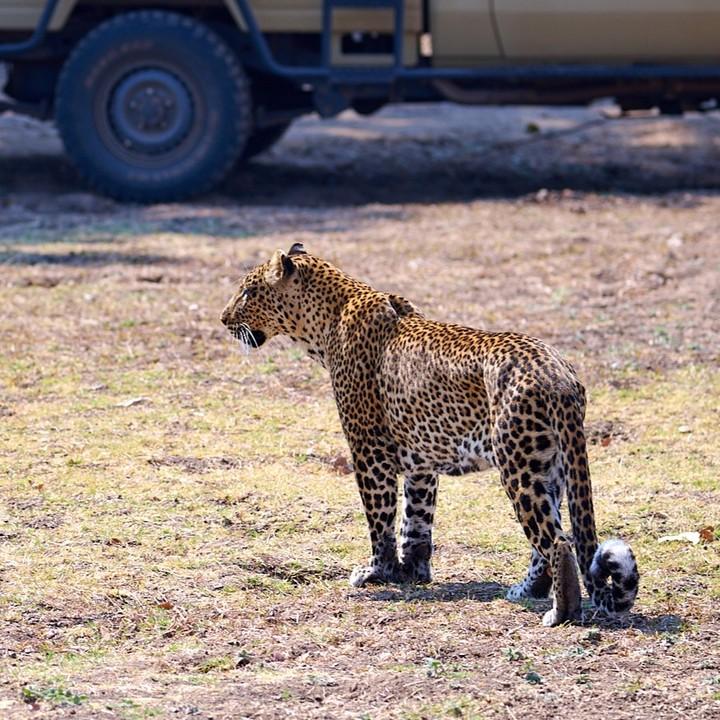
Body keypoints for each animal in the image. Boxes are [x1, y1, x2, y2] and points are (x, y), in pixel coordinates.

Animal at [220, 244, 639, 626]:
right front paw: (411, 572)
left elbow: (380, 519)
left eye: (247, 292)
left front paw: (377, 572)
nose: (223, 319)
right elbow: (415, 520)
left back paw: (559, 613)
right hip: (548, 464)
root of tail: (559, 375)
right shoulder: (420, 461)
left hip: (517, 463)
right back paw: (526, 590)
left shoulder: (369, 450)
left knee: (558, 541)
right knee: (550, 538)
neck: (324, 322)